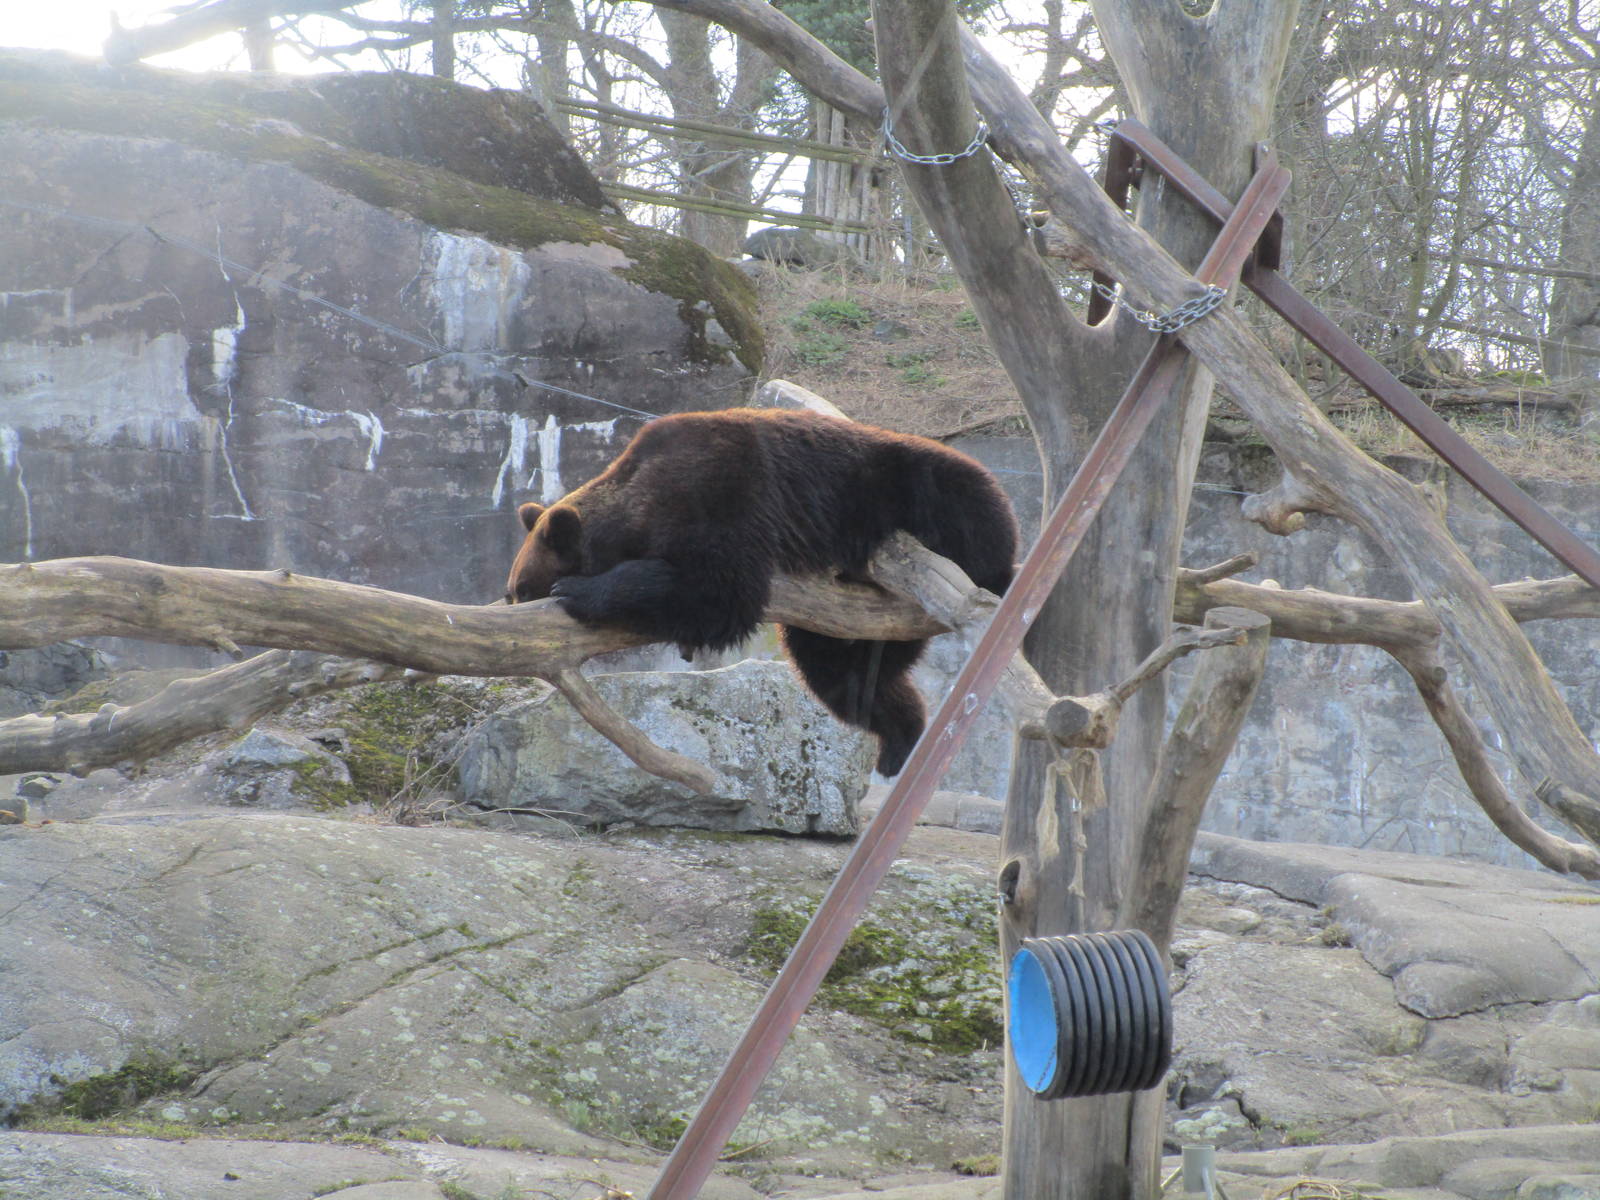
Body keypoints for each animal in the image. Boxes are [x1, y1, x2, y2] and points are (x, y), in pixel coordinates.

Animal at [505, 407, 1018, 776]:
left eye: (522, 589)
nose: (512, 603)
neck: (639, 507)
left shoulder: (720, 491)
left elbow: (719, 590)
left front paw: (580, 589)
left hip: (915, 491)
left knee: (968, 514)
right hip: (853, 619)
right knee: (847, 675)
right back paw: (899, 744)